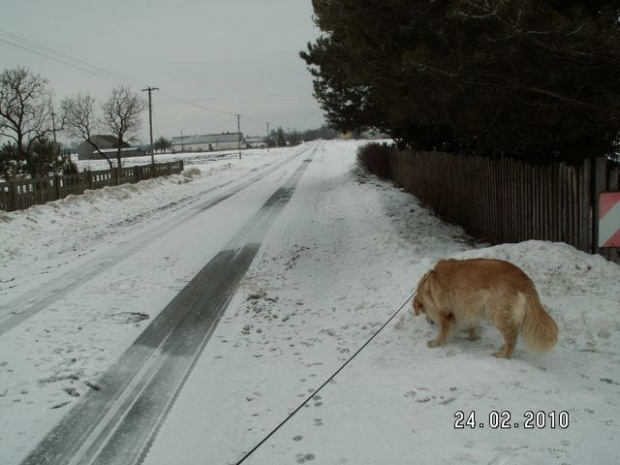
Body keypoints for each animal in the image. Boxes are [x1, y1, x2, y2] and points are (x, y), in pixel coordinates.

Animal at [414, 258, 560, 358]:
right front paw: (472, 337)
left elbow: (444, 331)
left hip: (497, 313)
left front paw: (437, 342)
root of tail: (523, 279)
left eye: (424, 311)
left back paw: (504, 354)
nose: (429, 321)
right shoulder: (470, 306)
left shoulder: (445, 312)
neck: (428, 286)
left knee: (512, 334)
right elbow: (472, 324)